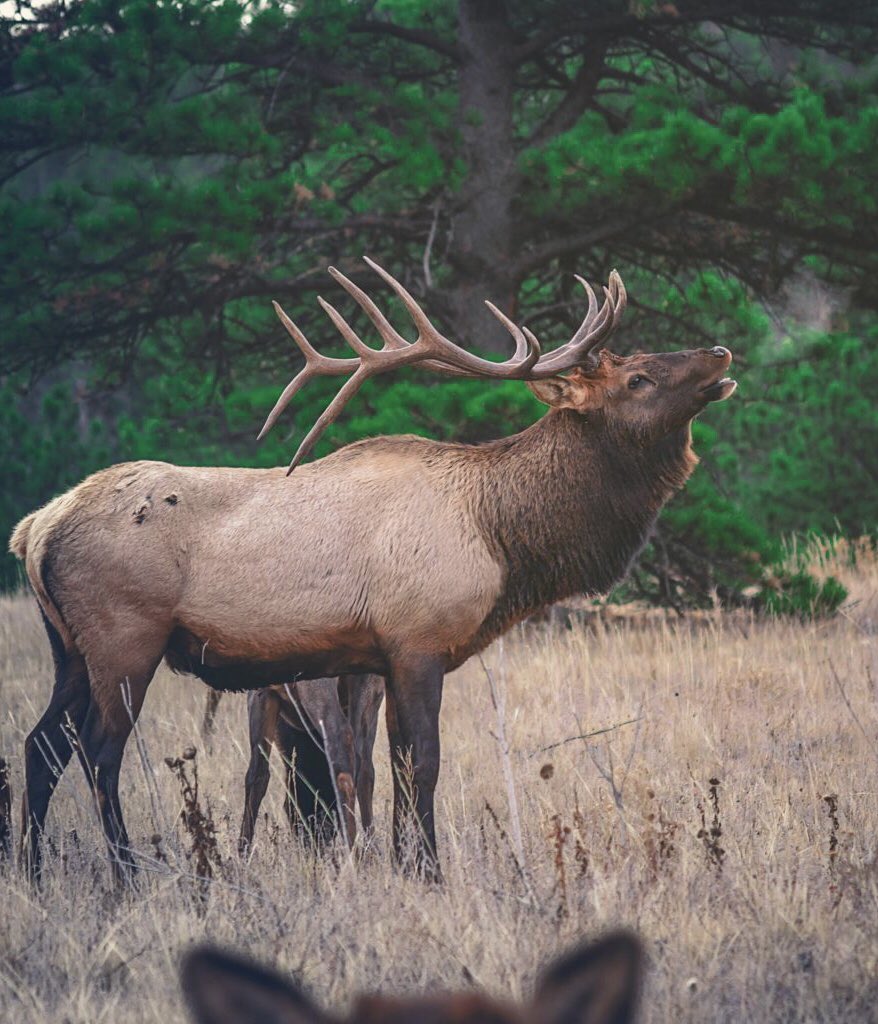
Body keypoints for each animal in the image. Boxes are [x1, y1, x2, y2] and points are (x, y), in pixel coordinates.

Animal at [238, 674, 384, 854]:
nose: (317, 842)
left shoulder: (260, 693)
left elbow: (256, 776)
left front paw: (242, 853)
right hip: (370, 691)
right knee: (364, 770)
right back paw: (370, 851)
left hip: (316, 688)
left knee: (341, 740)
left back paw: (352, 854)